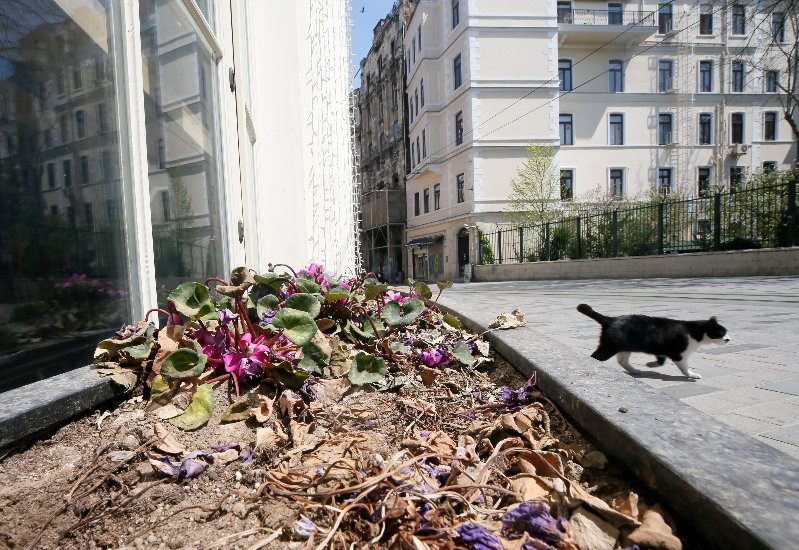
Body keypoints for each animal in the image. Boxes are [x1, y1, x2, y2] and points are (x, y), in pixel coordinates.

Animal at [580, 306, 728, 380]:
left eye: (726, 332)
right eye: (721, 333)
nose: (728, 339)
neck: (693, 332)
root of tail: (611, 319)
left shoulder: (662, 349)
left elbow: (661, 361)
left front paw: (650, 365)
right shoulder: (678, 354)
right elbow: (684, 368)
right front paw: (692, 375)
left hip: (624, 347)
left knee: (622, 361)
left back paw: (635, 371)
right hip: (609, 347)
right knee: (595, 357)